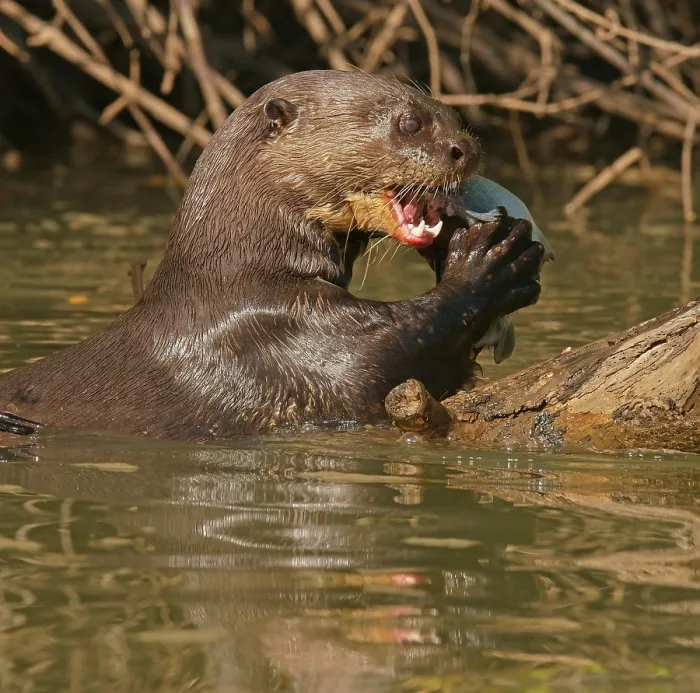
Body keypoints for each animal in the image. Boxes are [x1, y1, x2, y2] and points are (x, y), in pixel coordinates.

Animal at [0, 70, 543, 441]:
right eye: (410, 122)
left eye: (455, 118)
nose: (465, 149)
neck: (242, 271)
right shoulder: (287, 334)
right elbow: (391, 354)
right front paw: (491, 261)